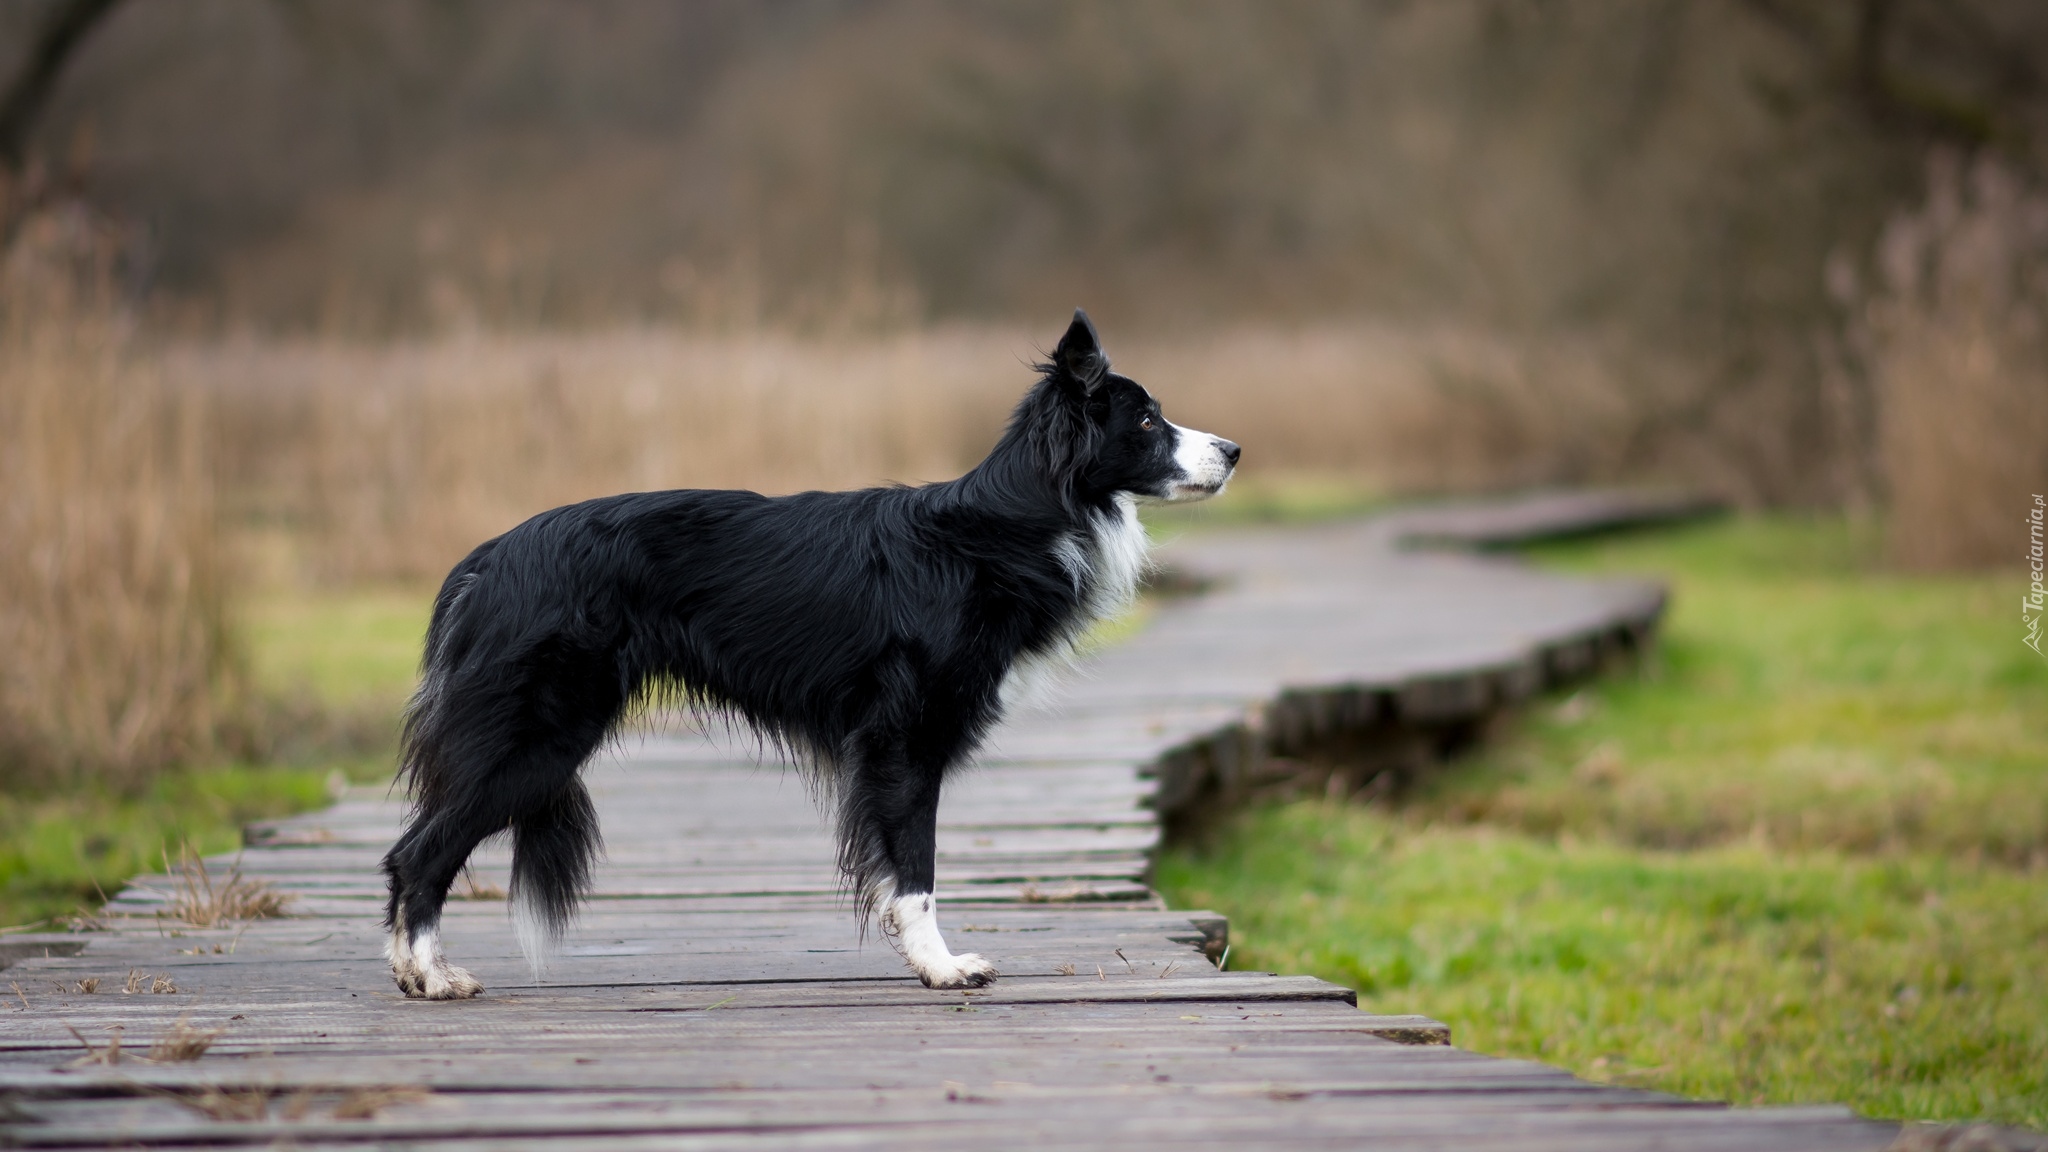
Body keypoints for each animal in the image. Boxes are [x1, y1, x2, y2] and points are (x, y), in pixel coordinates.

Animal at [387, 311, 1245, 996]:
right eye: (1146, 422)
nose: (1235, 449)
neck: (1008, 520)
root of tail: (488, 559)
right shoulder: (906, 739)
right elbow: (916, 869)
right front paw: (942, 968)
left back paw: (409, 971)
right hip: (541, 732)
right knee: (417, 853)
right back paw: (432, 977)